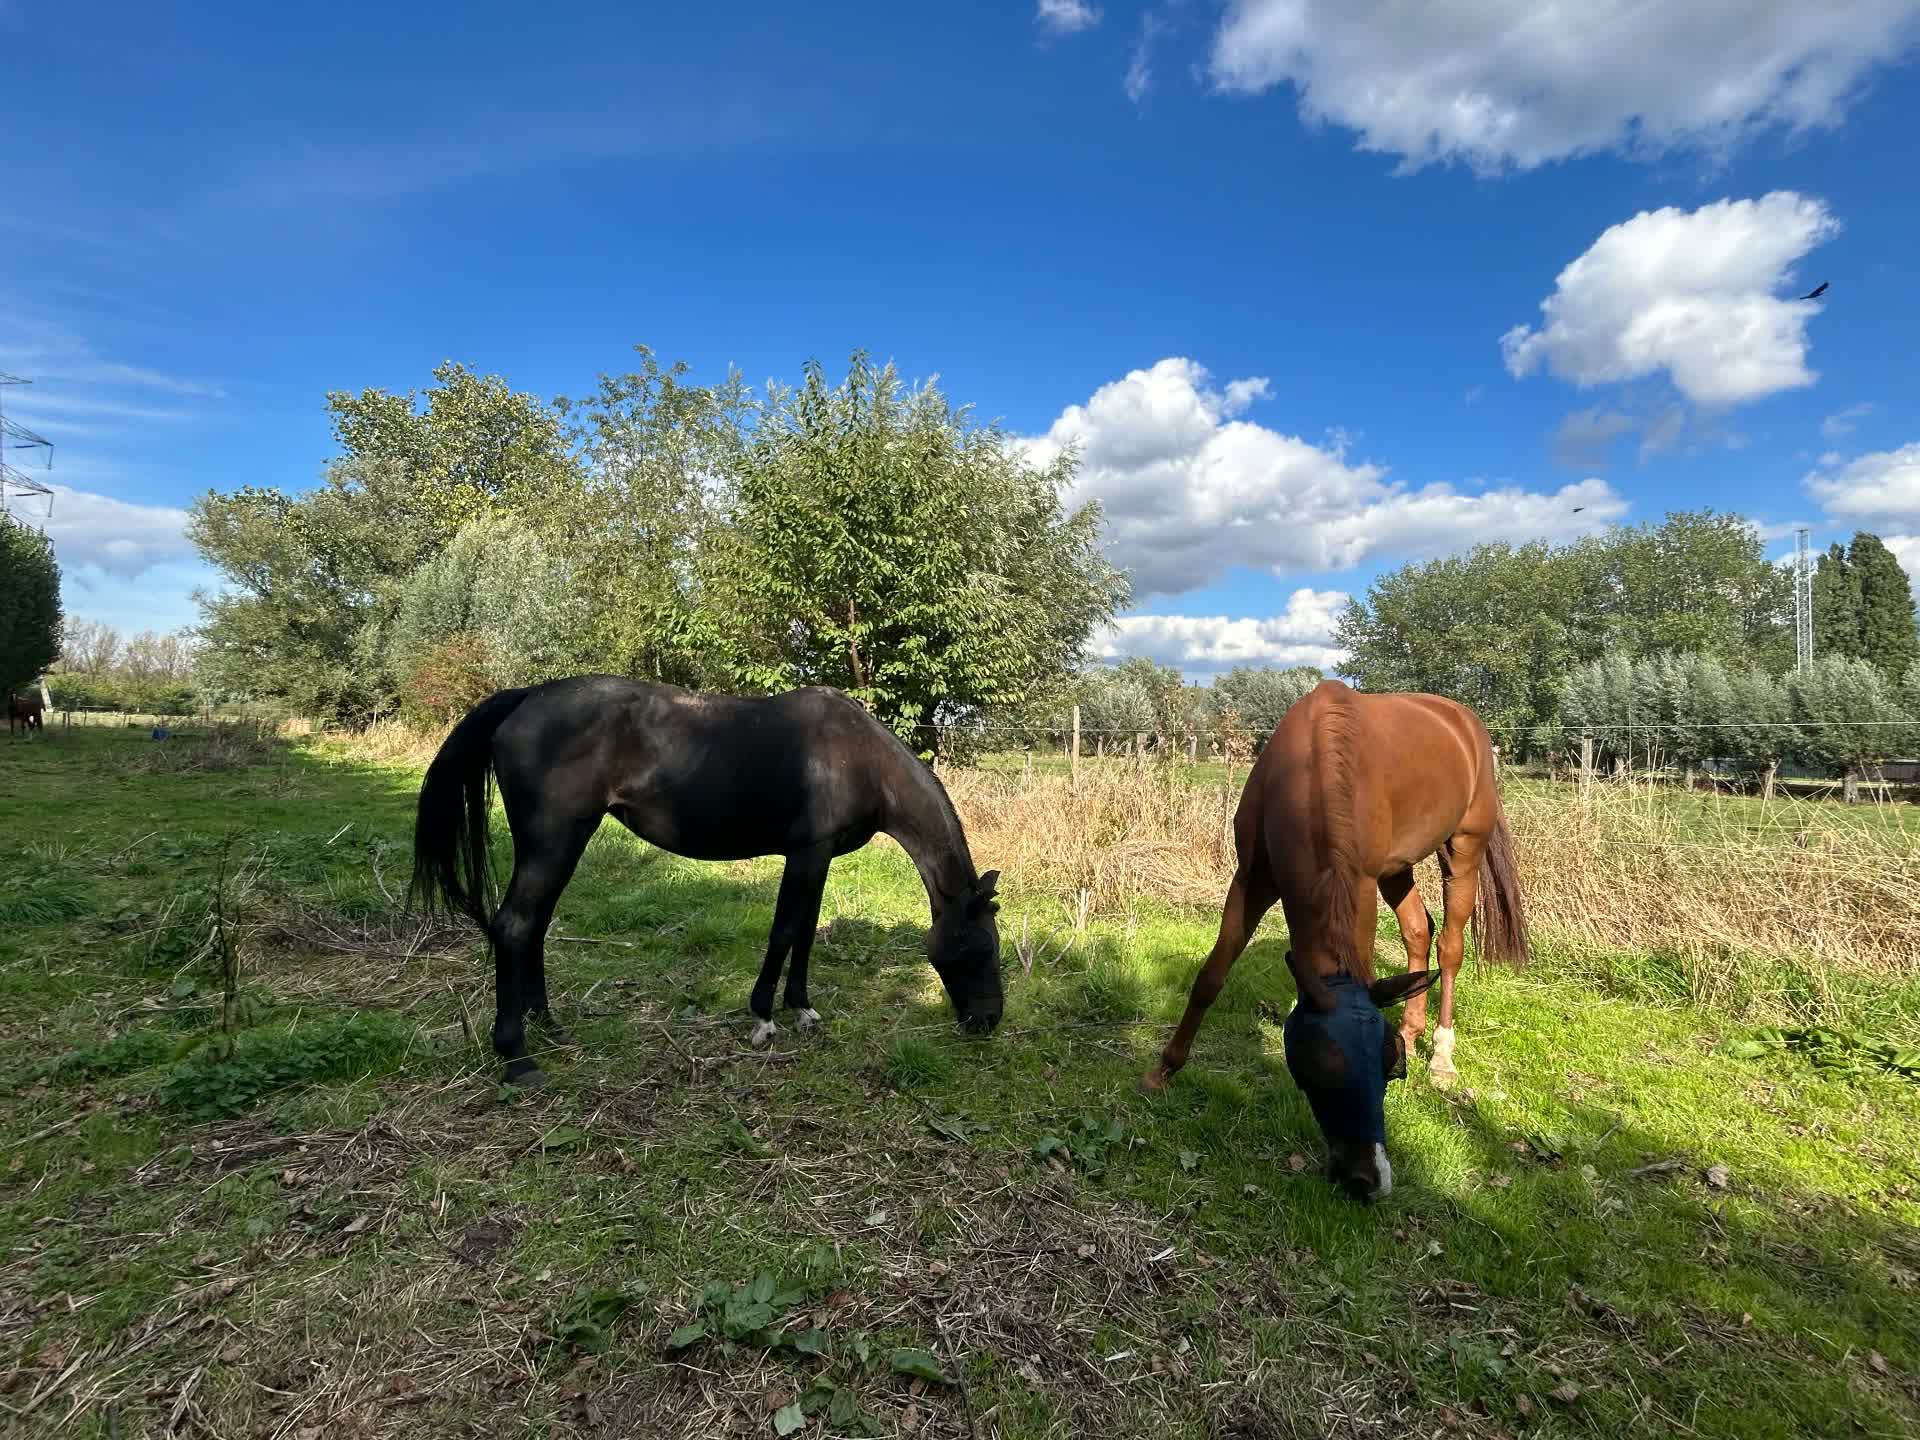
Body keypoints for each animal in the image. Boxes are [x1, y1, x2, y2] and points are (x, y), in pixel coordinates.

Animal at [409, 675, 1005, 1085]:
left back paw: (548, 1026)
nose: (989, 1021)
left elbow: (807, 933)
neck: (862, 759)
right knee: (515, 925)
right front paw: (763, 1018)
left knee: (533, 925)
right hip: (554, 842)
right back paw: (517, 1056)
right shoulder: (805, 854)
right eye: (978, 948)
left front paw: (802, 1009)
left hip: (559, 844)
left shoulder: (819, 859)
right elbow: (785, 932)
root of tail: (528, 696)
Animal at [1142, 679, 1529, 1201]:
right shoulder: (1252, 878)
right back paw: (1413, 1028)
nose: (1369, 1180)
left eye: (1389, 1070)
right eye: (1321, 1069)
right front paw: (1164, 1069)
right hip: (1398, 867)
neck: (1311, 765)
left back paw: (1442, 1057)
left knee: (1449, 948)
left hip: (1463, 849)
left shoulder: (1358, 884)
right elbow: (1211, 976)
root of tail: (1466, 722)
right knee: (1417, 930)